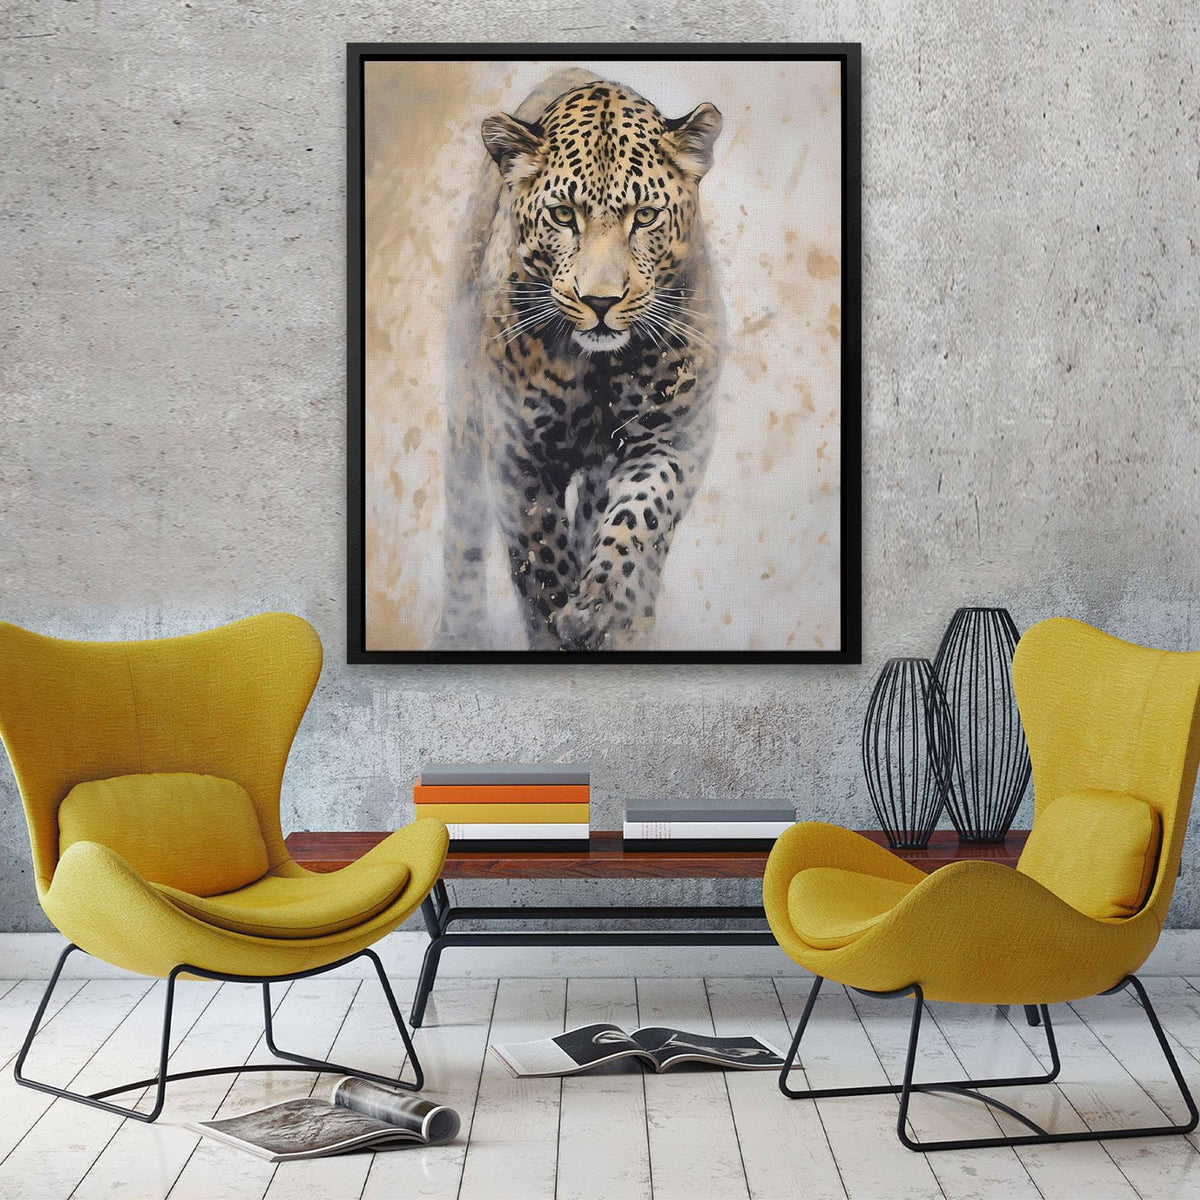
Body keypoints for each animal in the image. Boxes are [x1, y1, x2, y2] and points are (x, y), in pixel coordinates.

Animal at [438, 70, 724, 651]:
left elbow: (639, 518)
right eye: (563, 215)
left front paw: (603, 609)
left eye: (645, 216)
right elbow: (541, 557)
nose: (600, 301)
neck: (597, 369)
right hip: (465, 417)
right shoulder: (517, 453)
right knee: (463, 528)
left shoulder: (674, 435)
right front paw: (559, 625)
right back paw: (461, 630)